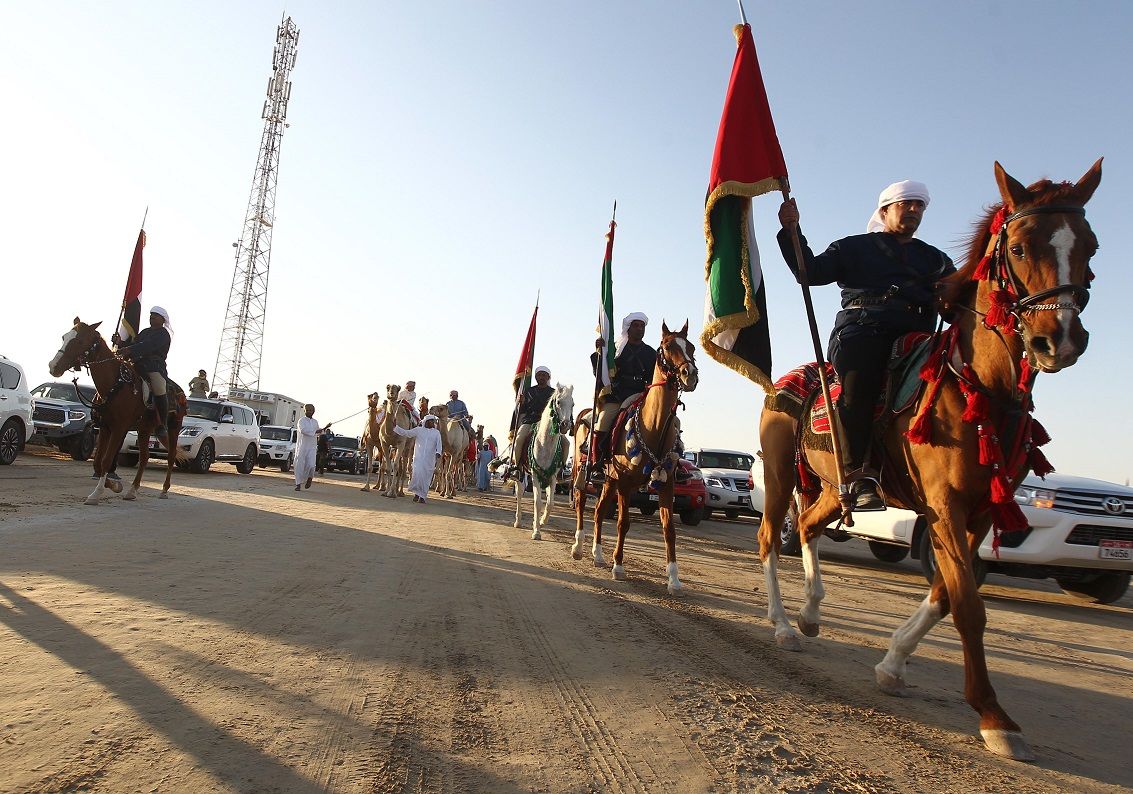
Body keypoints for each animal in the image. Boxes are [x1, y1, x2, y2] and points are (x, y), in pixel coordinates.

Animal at [48, 319, 183, 505]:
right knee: (144, 457)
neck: (116, 383)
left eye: (80, 341)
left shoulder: (119, 428)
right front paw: (114, 486)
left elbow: (106, 461)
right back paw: (132, 491)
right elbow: (98, 462)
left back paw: (164, 490)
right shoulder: (105, 427)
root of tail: (180, 392)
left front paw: (96, 494)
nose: (53, 367)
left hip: (173, 429)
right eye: (64, 337)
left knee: (171, 456)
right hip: (144, 430)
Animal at [516, 382, 575, 539]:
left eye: (572, 404)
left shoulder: (552, 476)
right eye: (558, 402)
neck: (545, 443)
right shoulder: (535, 474)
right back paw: (518, 521)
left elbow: (550, 502)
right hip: (521, 472)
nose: (566, 425)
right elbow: (537, 502)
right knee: (519, 493)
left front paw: (542, 522)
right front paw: (536, 531)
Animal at [571, 319, 693, 593]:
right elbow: (623, 523)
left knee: (598, 511)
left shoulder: (666, 483)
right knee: (582, 504)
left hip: (609, 480)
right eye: (667, 346)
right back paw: (578, 547)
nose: (689, 374)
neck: (654, 427)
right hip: (584, 474)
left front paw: (674, 579)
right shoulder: (626, 484)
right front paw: (618, 566)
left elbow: (669, 529)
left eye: (690, 346)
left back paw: (598, 555)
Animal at [756, 157, 1101, 756]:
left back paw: (811, 614)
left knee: (810, 527)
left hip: (834, 487)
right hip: (778, 476)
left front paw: (893, 663)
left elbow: (944, 593)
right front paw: (994, 716)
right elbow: (967, 605)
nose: (1058, 340)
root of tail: (786, 381)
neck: (979, 387)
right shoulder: (944, 506)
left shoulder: (980, 511)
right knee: (771, 537)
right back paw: (781, 624)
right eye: (1018, 248)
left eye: (1092, 248)